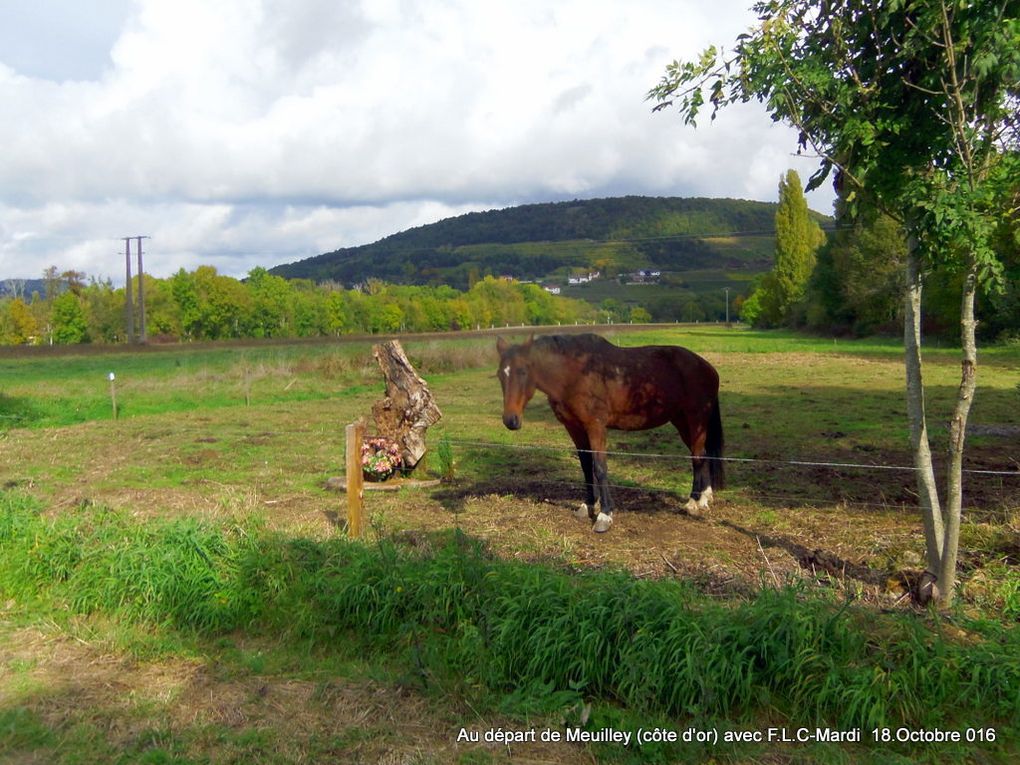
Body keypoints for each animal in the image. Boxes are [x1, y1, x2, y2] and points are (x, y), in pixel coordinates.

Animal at [495, 334, 726, 534]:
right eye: (500, 375)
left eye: (523, 371)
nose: (511, 420)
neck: (574, 374)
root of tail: (708, 368)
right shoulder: (575, 428)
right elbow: (586, 467)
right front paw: (588, 506)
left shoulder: (595, 426)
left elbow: (600, 468)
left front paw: (604, 515)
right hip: (681, 421)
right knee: (701, 454)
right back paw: (705, 497)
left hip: (696, 419)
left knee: (697, 456)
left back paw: (693, 503)